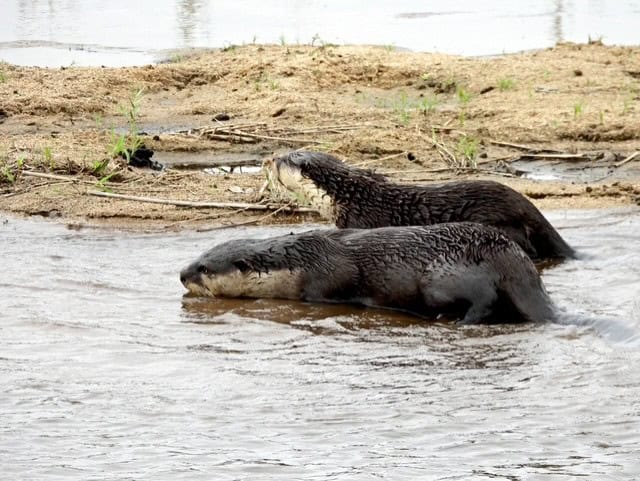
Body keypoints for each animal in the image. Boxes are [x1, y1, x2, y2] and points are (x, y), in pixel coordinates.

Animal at [180, 223, 556, 324]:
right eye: (199, 256)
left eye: (204, 268)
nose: (182, 273)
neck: (299, 262)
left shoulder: (323, 279)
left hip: (442, 278)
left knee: (484, 303)